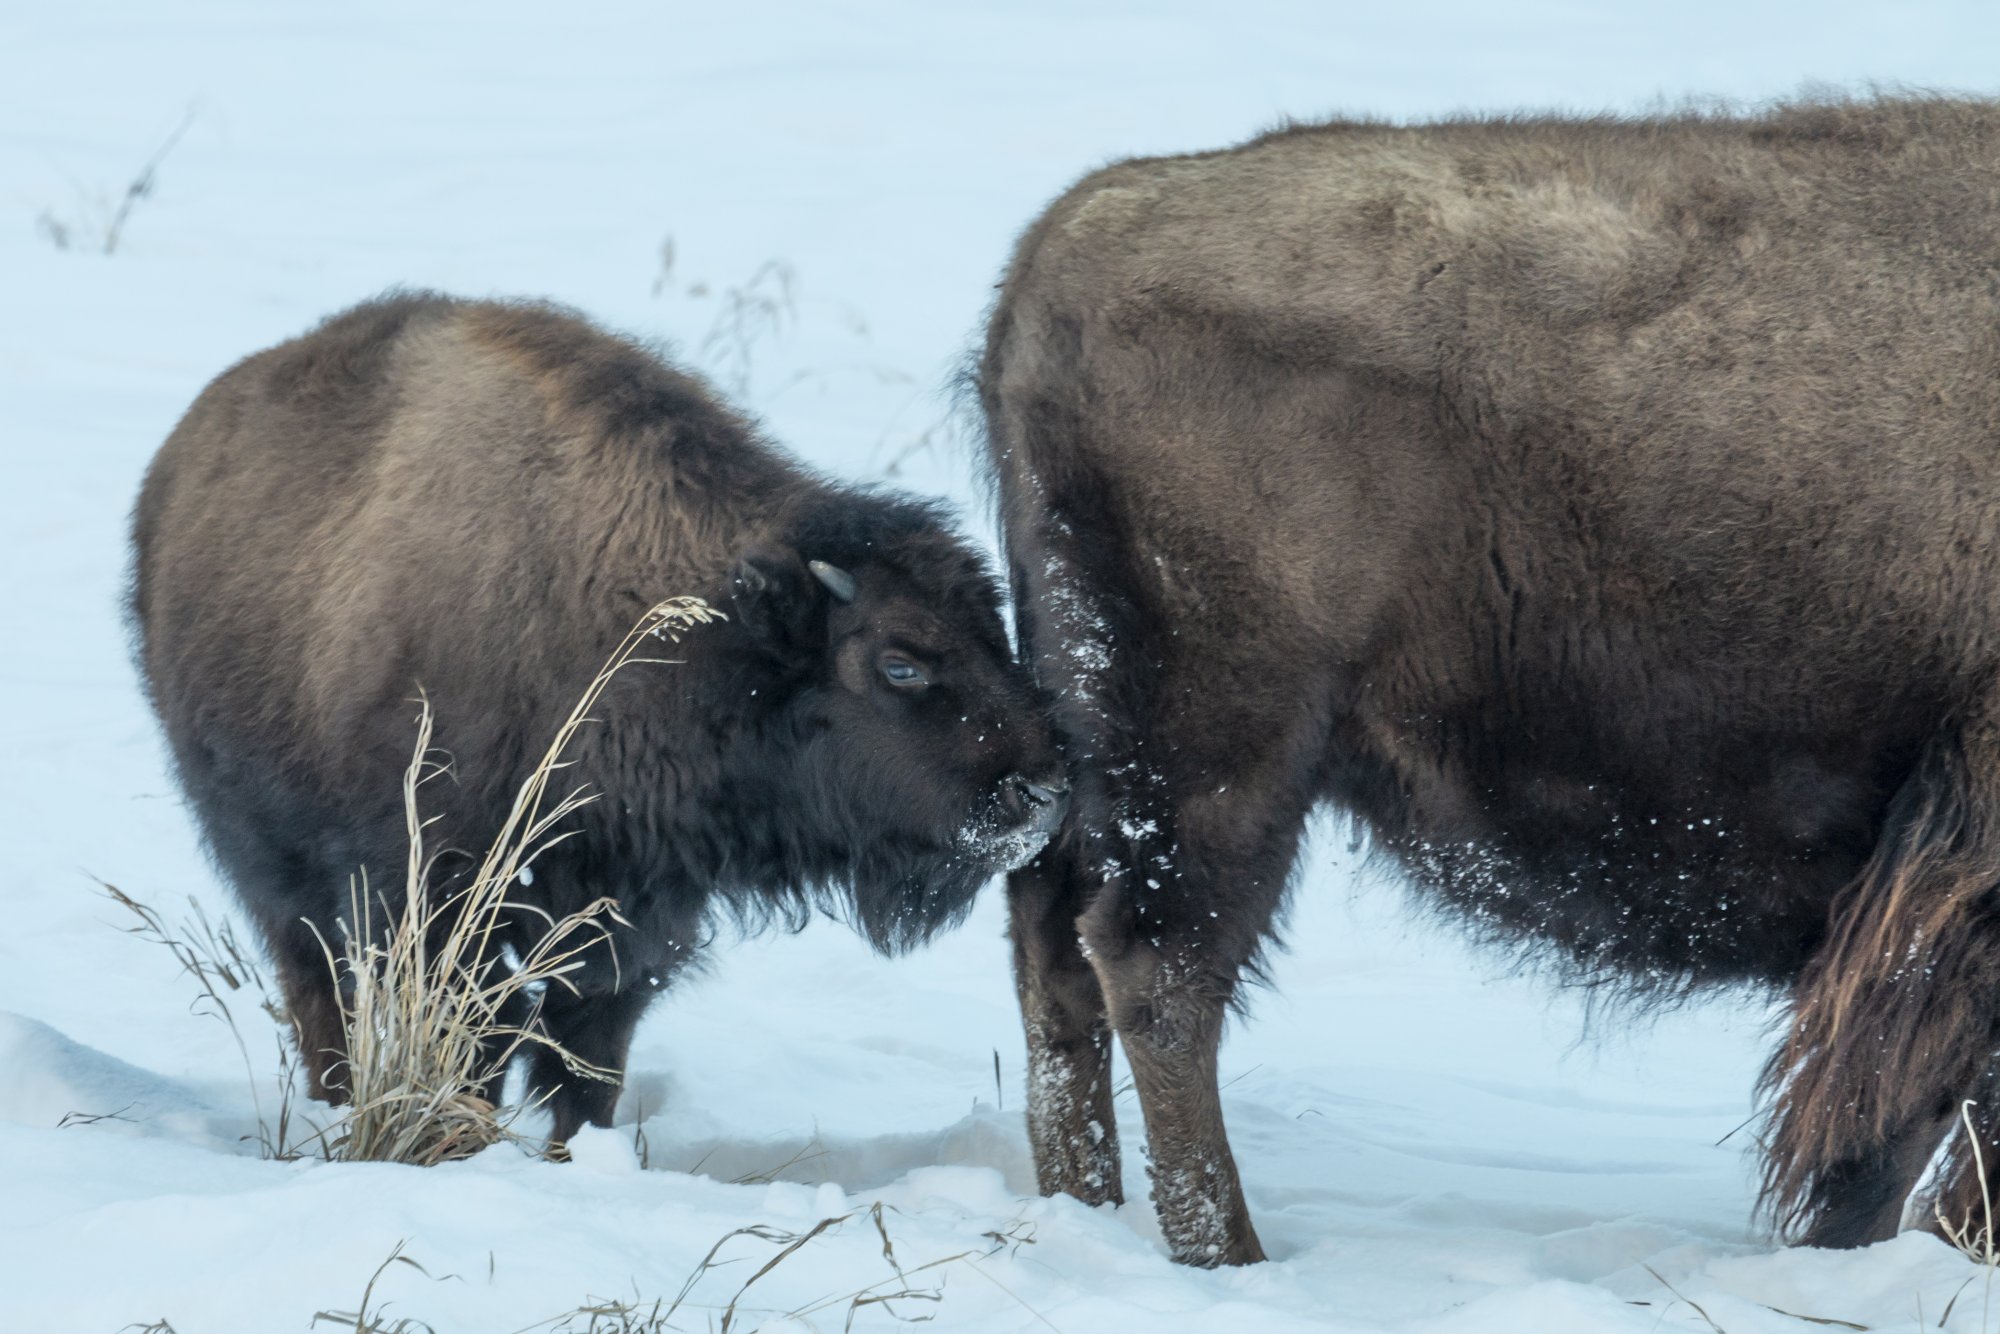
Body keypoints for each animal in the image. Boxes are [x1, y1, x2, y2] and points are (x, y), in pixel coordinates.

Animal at [133, 298, 1072, 1144]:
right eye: (901, 664)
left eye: (1000, 634)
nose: (1043, 791)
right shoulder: (436, 902)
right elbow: (480, 1043)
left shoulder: (633, 922)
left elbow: (585, 1061)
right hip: (272, 872)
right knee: (316, 989)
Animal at [980, 99, 2000, 1272]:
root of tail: (1061, 243)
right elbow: (1911, 1104)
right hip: (1225, 749)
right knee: (1157, 966)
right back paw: (1228, 1253)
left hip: (1111, 742)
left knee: (1057, 939)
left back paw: (1087, 1214)